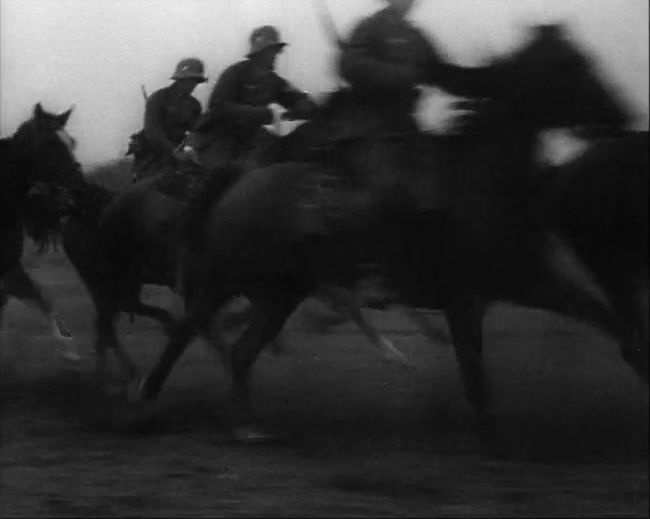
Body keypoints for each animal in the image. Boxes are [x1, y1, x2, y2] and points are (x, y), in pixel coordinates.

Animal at [0, 104, 83, 362]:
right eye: (50, 143)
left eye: (72, 142)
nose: (78, 186)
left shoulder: (10, 269)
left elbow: (42, 299)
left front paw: (68, 348)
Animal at [137, 24, 632, 440]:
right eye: (571, 65)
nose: (623, 115)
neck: (478, 177)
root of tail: (239, 178)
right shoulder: (464, 299)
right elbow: (474, 375)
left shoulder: (529, 281)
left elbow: (607, 319)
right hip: (225, 277)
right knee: (187, 330)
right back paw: (150, 401)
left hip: (282, 291)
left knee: (241, 348)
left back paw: (249, 421)